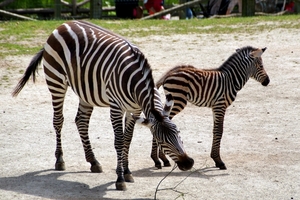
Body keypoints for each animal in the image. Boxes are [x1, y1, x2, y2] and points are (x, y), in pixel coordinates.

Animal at [11, 20, 193, 191]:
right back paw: (60, 160)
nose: (188, 163)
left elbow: (127, 139)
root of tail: (63, 24)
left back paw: (93, 161)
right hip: (56, 81)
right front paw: (120, 179)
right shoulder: (116, 108)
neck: (134, 80)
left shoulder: (134, 109)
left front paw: (127, 172)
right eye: (161, 141)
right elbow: (119, 141)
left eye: (179, 133)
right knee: (58, 120)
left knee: (81, 121)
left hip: (85, 91)